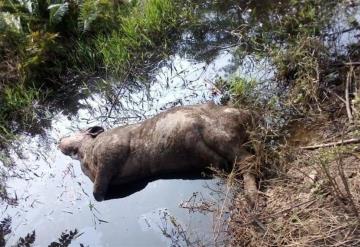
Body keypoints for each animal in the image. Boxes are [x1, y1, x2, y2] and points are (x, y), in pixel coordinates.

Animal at [59, 103, 256, 202]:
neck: (85, 155)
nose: (59, 141)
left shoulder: (113, 148)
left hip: (219, 134)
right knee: (238, 161)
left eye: (78, 131)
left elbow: (97, 191)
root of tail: (247, 115)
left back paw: (251, 197)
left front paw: (98, 196)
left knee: (248, 160)